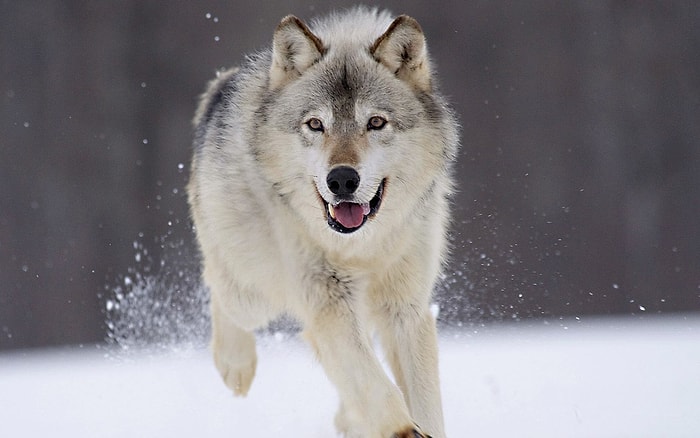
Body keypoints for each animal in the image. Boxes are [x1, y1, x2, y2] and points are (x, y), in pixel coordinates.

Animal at [187, 6, 460, 438]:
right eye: (315, 124)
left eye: (376, 123)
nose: (342, 179)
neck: (362, 247)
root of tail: (221, 87)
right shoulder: (327, 301)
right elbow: (376, 385)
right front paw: (401, 428)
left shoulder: (406, 308)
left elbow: (422, 398)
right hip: (254, 292)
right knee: (219, 286)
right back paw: (236, 366)